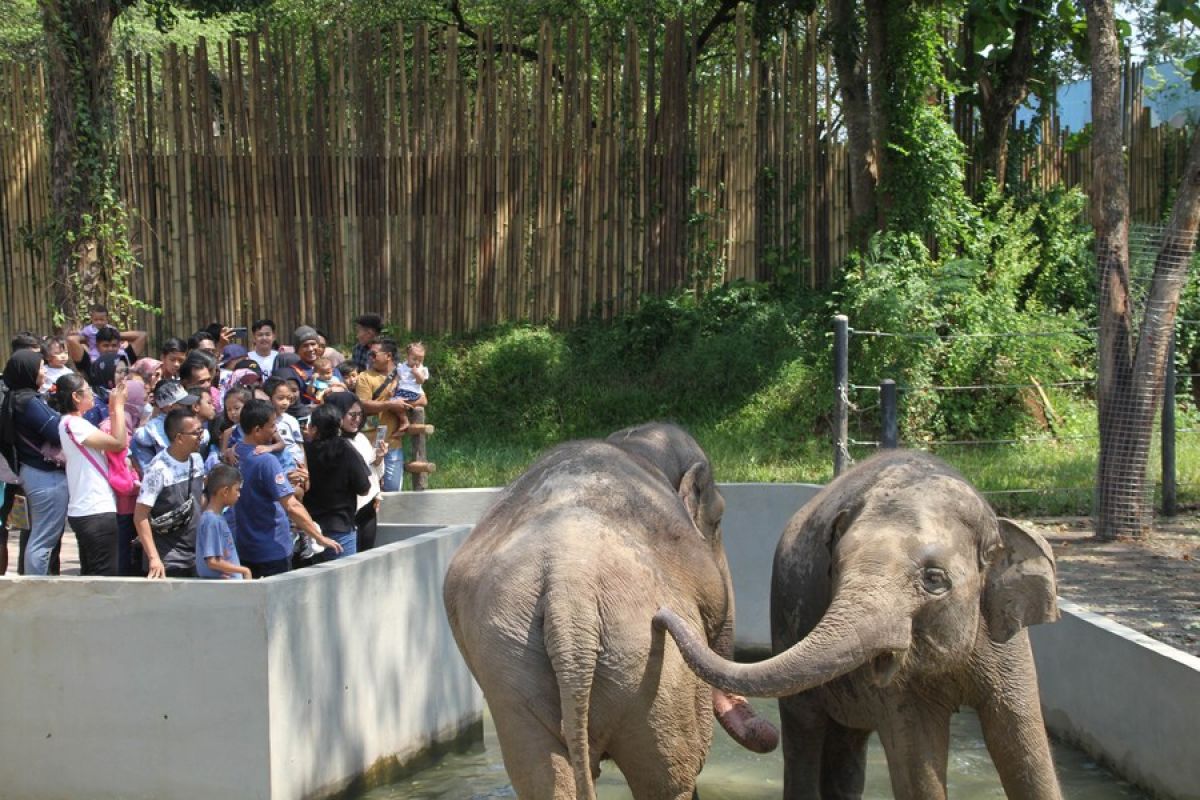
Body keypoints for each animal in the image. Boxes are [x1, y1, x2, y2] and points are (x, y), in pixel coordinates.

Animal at [444, 419, 777, 800]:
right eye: (719, 519)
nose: (770, 732)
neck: (637, 444)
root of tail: (568, 587)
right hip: (651, 666)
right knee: (671, 776)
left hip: (510, 665)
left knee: (543, 776)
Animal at [652, 450, 1065, 800]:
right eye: (836, 568)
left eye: (934, 579)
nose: (659, 615)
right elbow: (919, 753)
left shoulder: (1005, 639)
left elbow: (1020, 737)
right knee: (806, 730)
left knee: (846, 747)